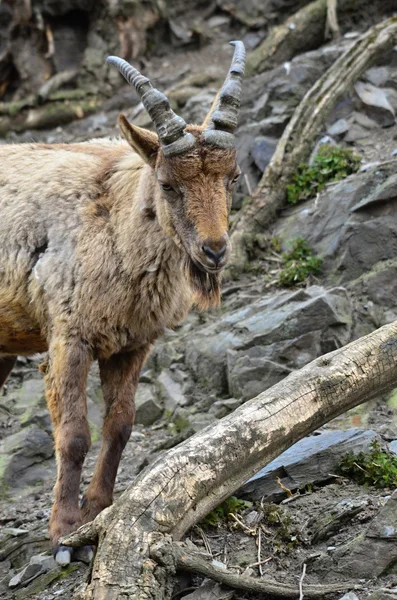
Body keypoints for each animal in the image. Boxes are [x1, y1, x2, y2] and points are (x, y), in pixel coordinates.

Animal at [0, 41, 246, 564]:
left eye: (232, 178)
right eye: (169, 184)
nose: (214, 251)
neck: (114, 223)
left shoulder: (132, 343)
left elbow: (120, 426)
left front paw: (97, 512)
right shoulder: (68, 337)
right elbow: (74, 435)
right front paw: (62, 533)